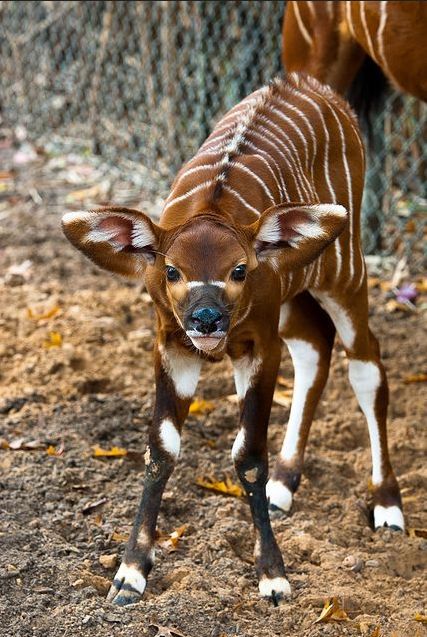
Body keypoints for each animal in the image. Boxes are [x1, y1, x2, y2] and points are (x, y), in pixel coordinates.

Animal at [61, 72, 404, 604]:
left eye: (239, 269)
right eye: (172, 270)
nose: (206, 319)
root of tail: (312, 85)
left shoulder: (257, 345)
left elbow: (248, 456)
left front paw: (273, 576)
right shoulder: (171, 344)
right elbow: (161, 448)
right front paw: (130, 574)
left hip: (346, 273)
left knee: (366, 362)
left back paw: (387, 504)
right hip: (295, 298)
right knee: (314, 347)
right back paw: (285, 484)